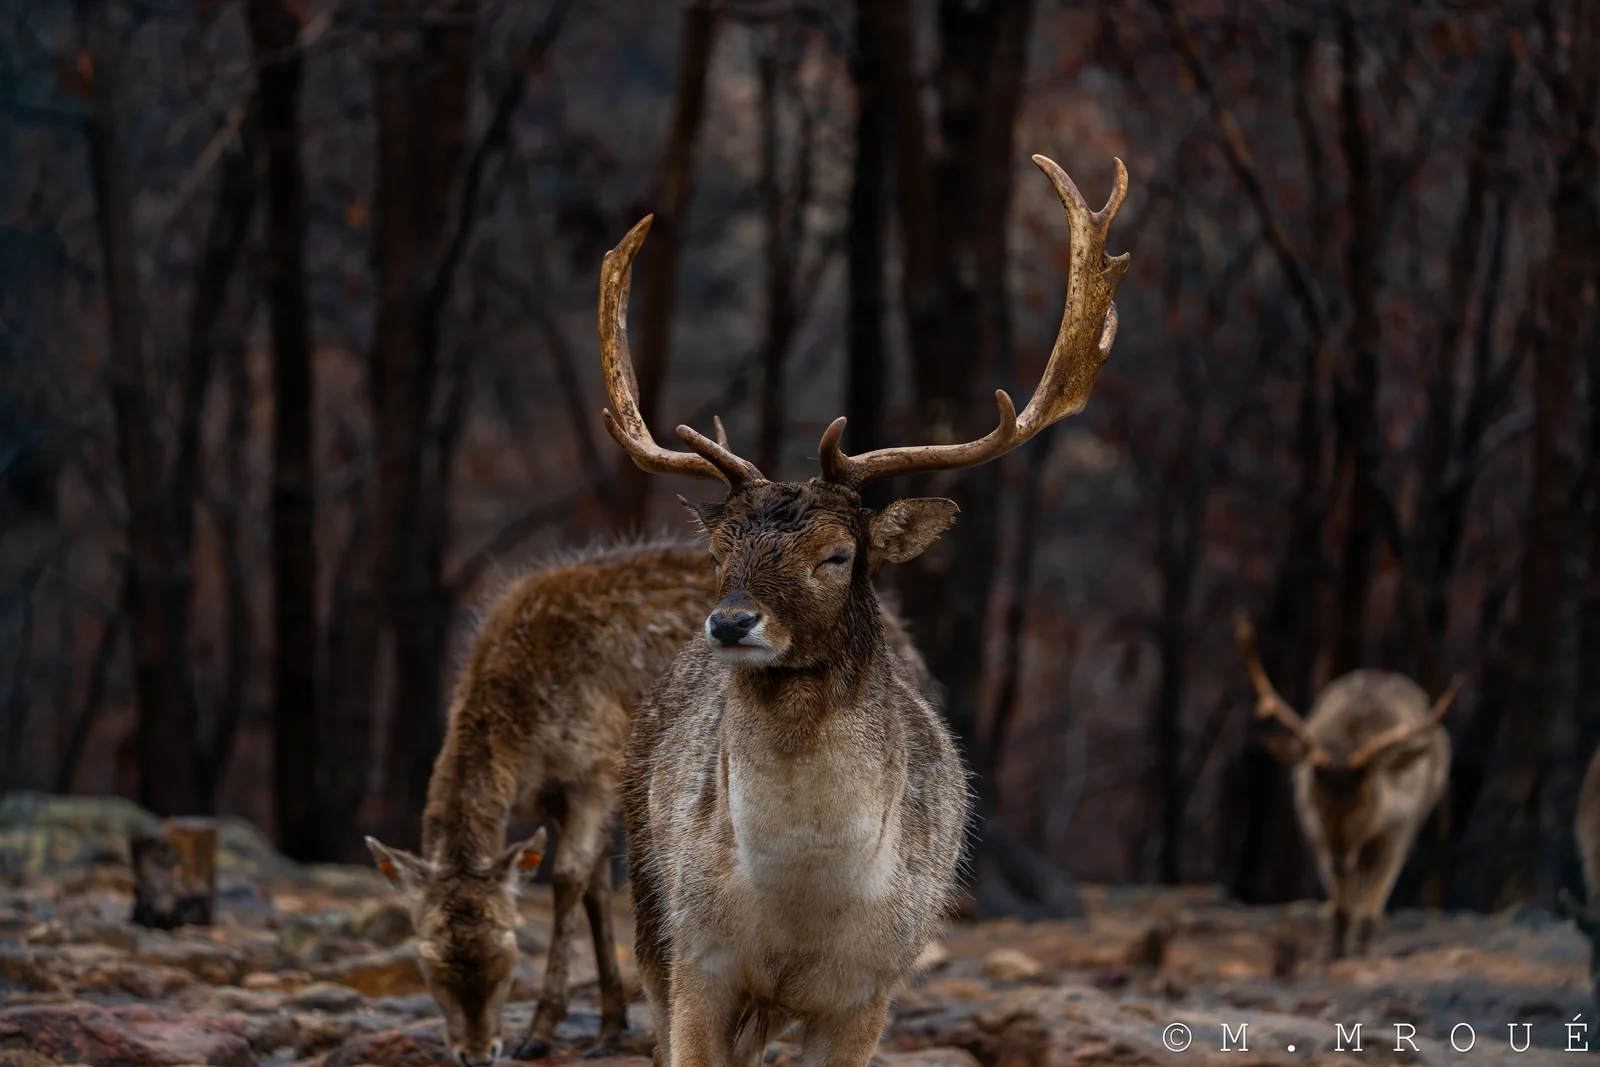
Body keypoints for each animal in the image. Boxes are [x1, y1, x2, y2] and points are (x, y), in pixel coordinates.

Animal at [363, 540, 937, 1067]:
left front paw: (540, 1034)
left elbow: (569, 878)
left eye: (505, 960)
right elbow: (595, 887)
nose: (480, 1053)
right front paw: (611, 1024)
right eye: (430, 968)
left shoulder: (594, 767)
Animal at [601, 153, 1129, 1067]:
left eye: (838, 555)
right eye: (719, 549)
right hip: (645, 897)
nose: (730, 623)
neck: (804, 910)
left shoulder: (871, 987)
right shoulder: (700, 959)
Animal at [1234, 613, 1460, 959]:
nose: (1340, 862)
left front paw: (1363, 954)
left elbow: (1368, 910)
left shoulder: (1400, 829)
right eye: (1316, 800)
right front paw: (1337, 954)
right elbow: (1342, 910)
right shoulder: (1316, 833)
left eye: (1367, 800)